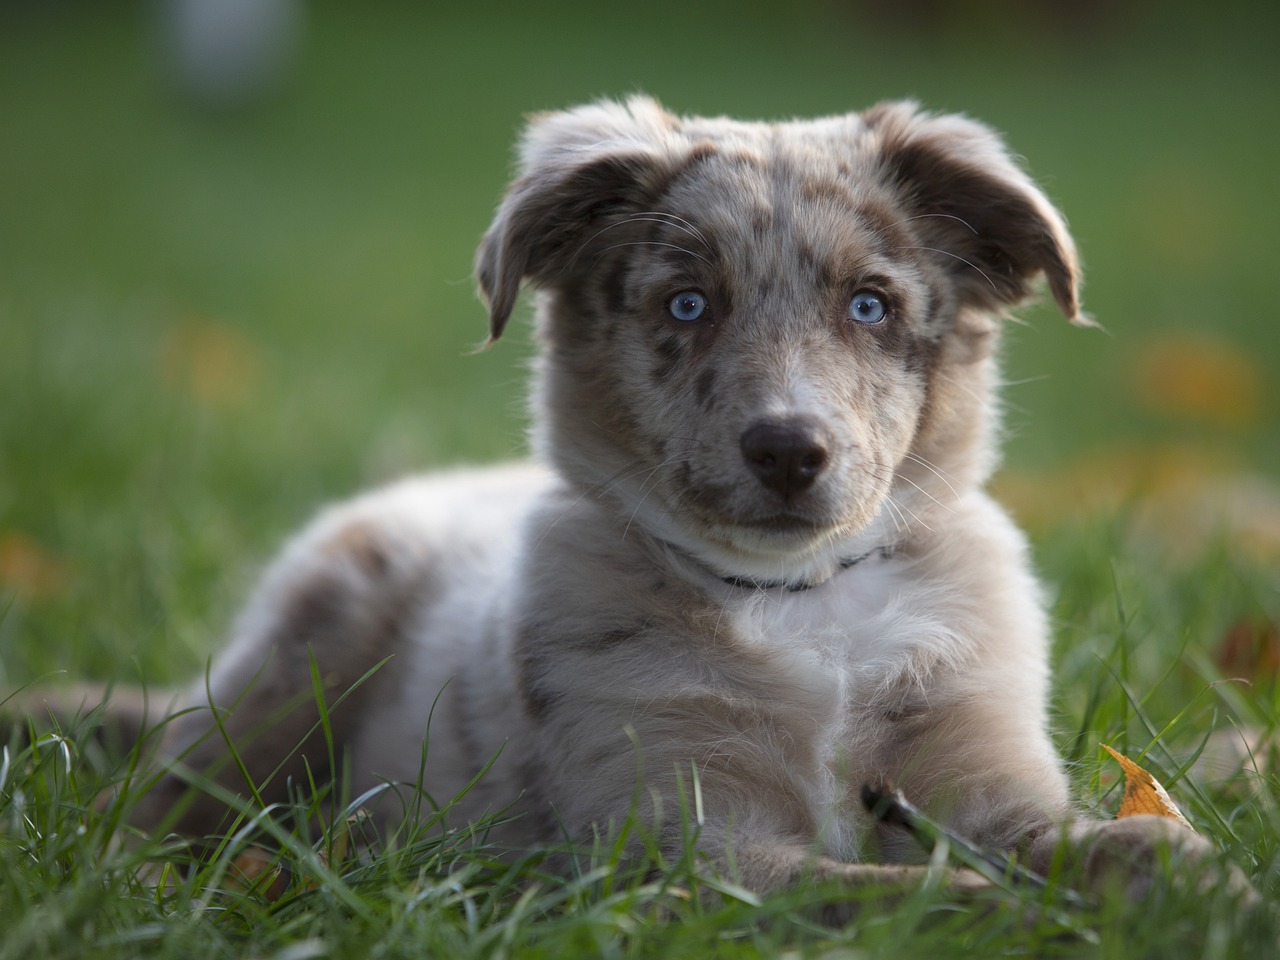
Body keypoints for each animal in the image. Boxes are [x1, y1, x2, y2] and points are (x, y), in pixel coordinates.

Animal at [102, 97, 1208, 916]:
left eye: (870, 306)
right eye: (688, 303)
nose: (788, 449)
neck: (802, 603)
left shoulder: (987, 779)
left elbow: (1107, 839)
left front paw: (1196, 886)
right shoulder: (683, 845)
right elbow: (885, 894)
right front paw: (1009, 915)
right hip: (293, 665)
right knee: (166, 796)